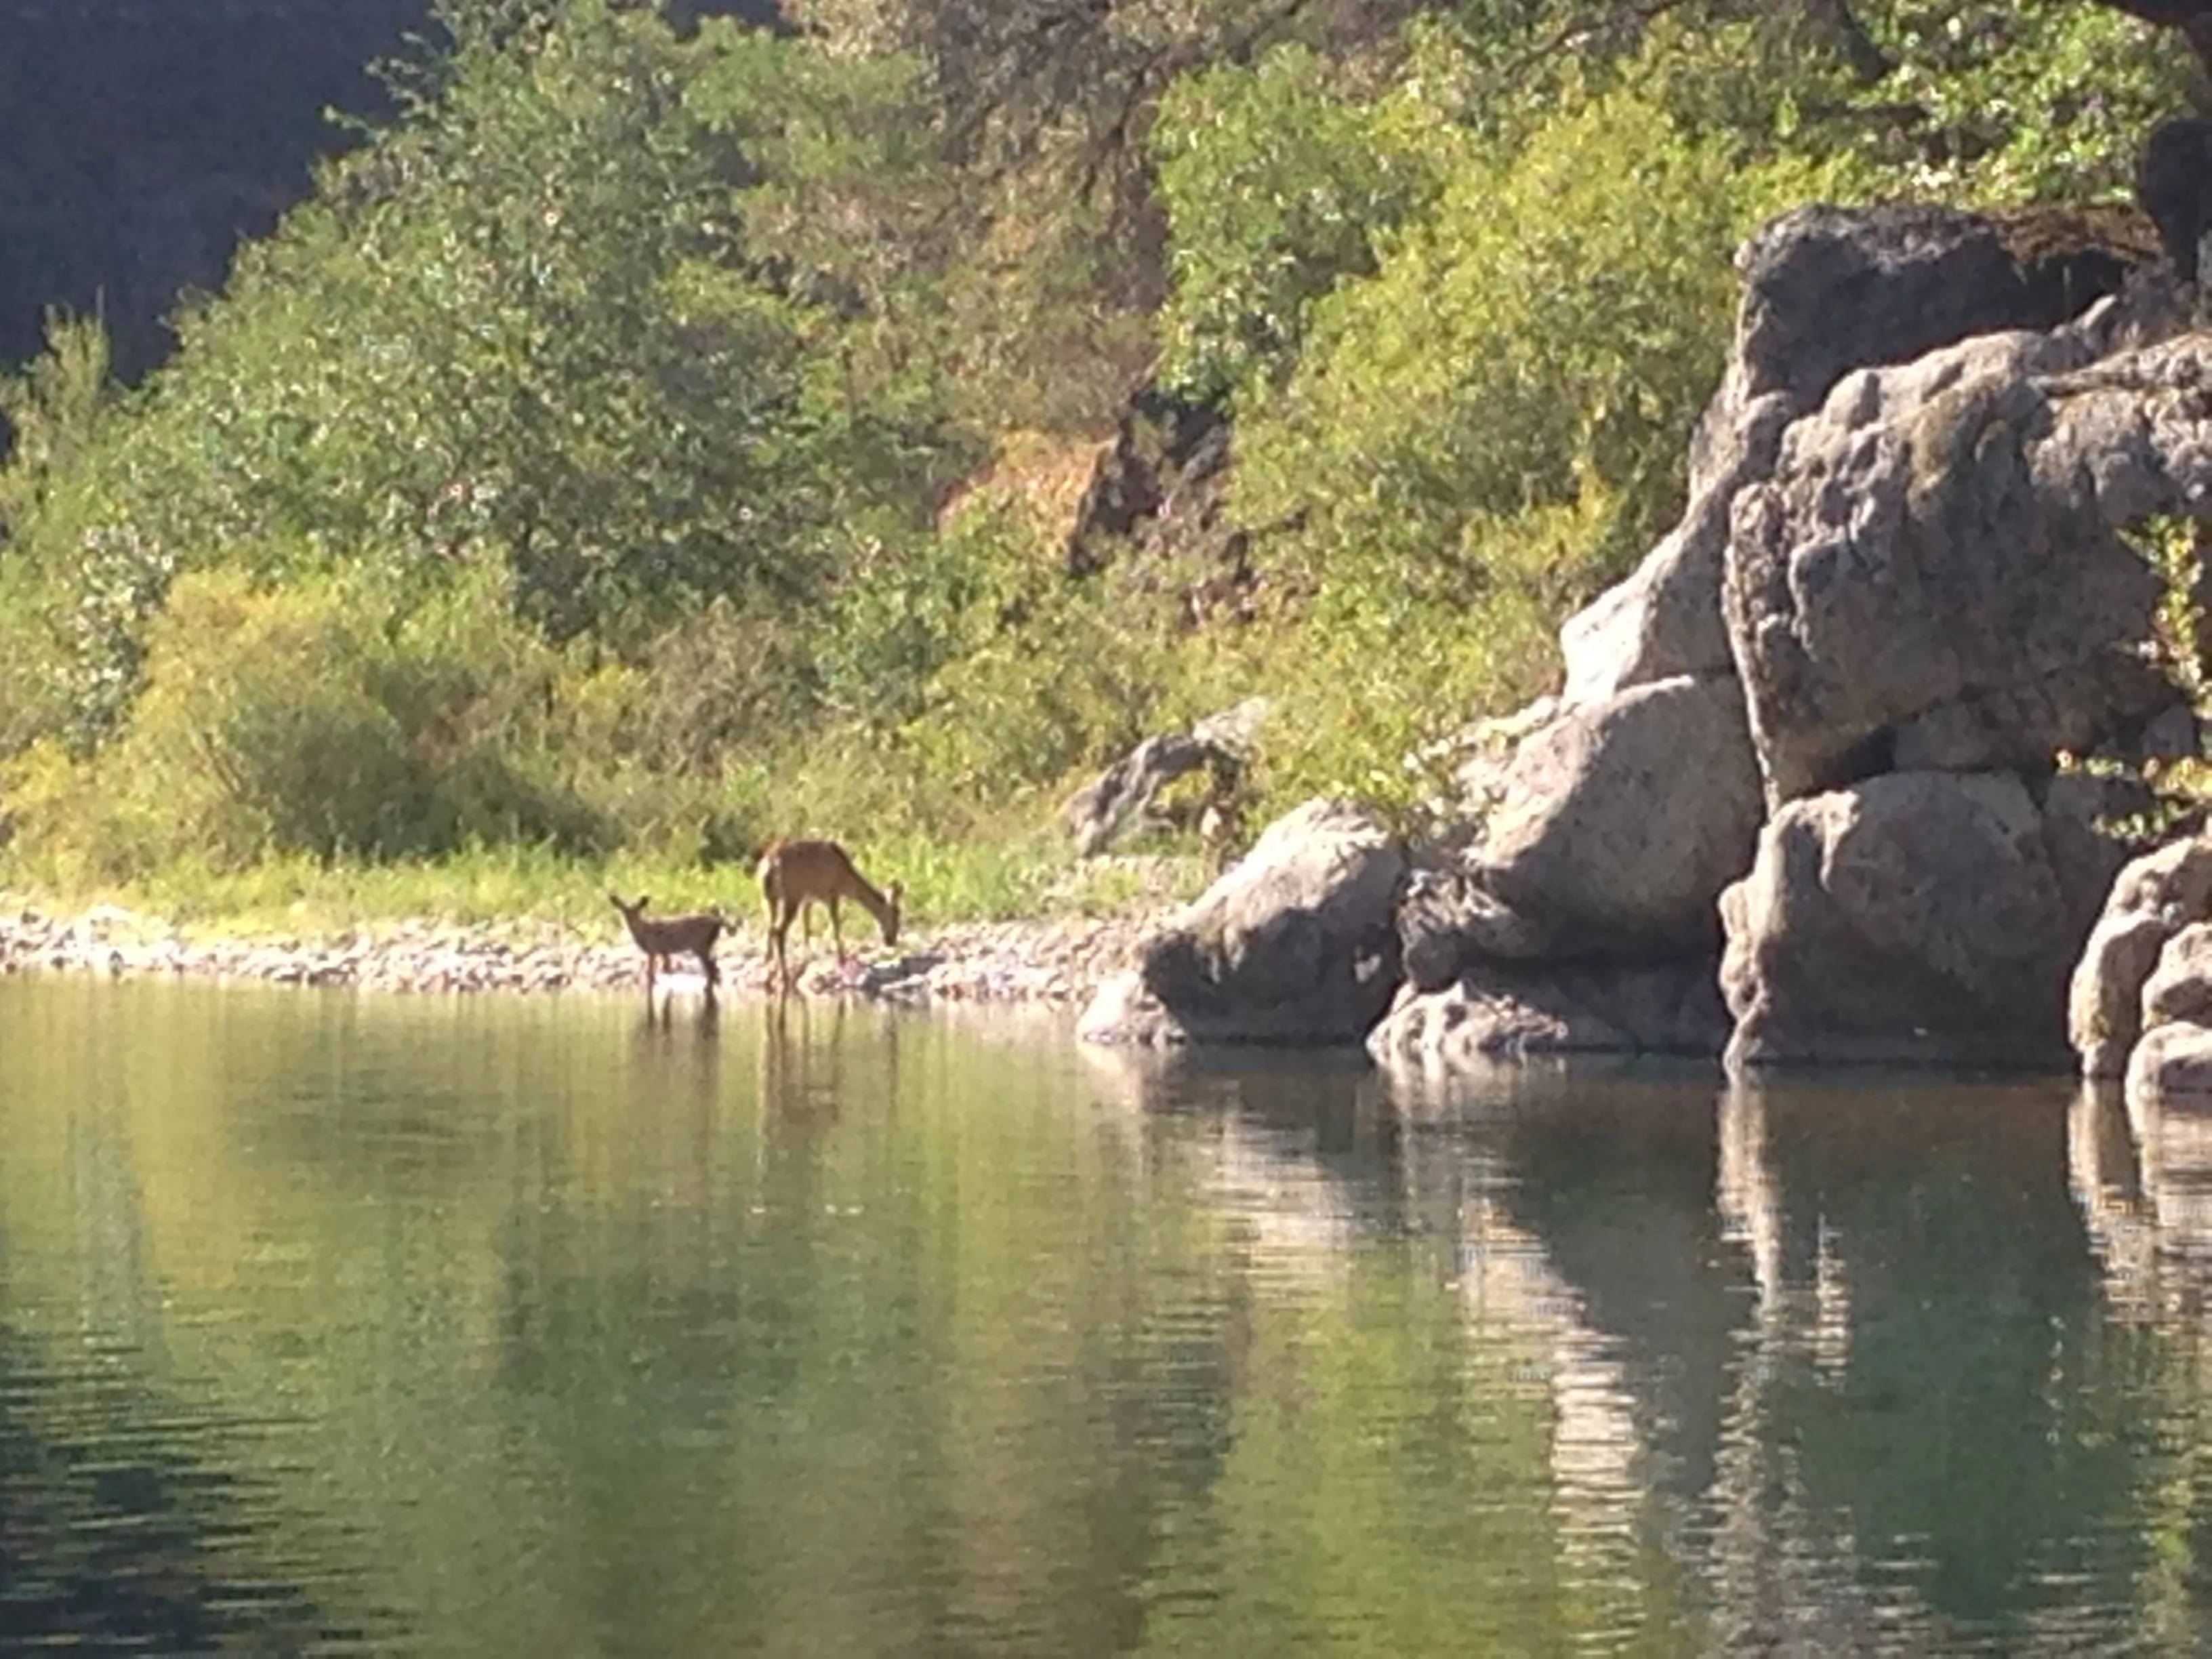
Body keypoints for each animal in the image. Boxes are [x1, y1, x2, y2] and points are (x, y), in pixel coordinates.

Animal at [606, 898, 725, 1000]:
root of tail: (718, 922)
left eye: (637, 911)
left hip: (700, 945)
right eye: (624, 912)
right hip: (706, 945)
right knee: (715, 967)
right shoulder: (664, 951)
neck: (643, 932)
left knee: (710, 968)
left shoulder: (653, 949)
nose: (632, 922)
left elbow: (651, 973)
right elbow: (667, 969)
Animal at [756, 836, 902, 995]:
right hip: (791, 895)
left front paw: (805, 961)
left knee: (771, 929)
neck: (847, 881)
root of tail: (770, 863)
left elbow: (806, 930)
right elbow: (836, 924)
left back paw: (769, 974)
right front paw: (842, 959)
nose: (891, 941)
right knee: (779, 931)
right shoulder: (831, 892)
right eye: (897, 915)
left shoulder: (808, 900)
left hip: (769, 898)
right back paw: (784, 977)